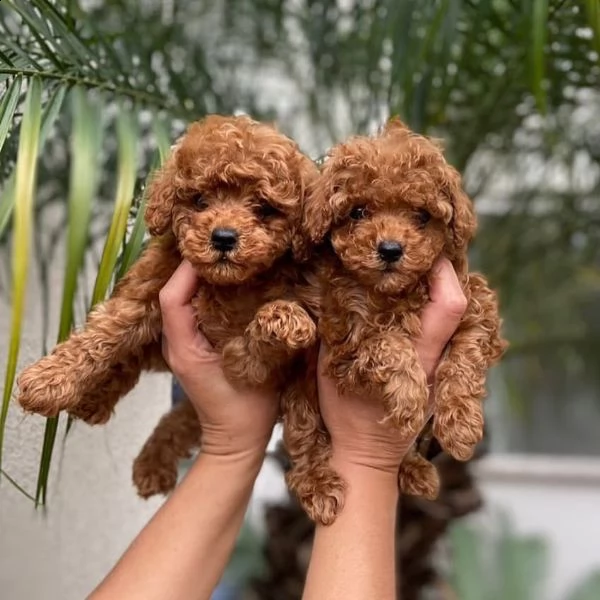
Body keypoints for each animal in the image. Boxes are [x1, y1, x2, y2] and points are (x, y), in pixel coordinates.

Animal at [16, 113, 318, 496]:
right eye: (200, 201)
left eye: (263, 209)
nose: (223, 238)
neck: (225, 283)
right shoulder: (149, 287)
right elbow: (105, 331)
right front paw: (48, 380)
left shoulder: (239, 359)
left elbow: (253, 349)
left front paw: (284, 321)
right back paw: (94, 401)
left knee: (183, 418)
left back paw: (150, 462)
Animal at [284, 118, 506, 524]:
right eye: (357, 212)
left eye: (421, 216)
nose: (390, 250)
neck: (393, 291)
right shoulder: (344, 341)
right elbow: (385, 342)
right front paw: (411, 396)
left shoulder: (476, 303)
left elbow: (467, 351)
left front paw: (461, 424)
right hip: (301, 400)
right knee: (304, 442)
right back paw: (319, 486)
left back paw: (416, 469)